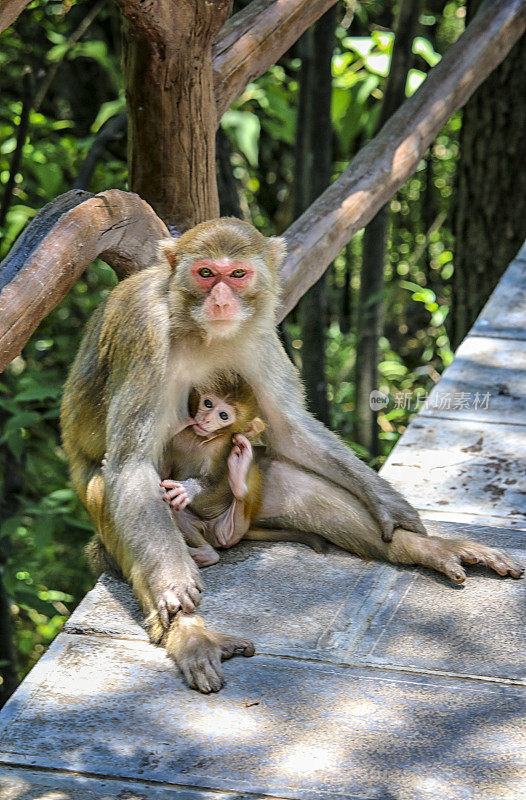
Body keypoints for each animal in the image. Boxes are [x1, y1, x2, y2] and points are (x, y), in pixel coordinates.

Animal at [161, 378, 328, 564]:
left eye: (223, 415)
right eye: (208, 403)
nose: (205, 419)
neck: (201, 440)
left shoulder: (222, 448)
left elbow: (213, 480)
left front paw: (190, 489)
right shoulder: (178, 438)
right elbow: (163, 472)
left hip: (234, 527)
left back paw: (239, 478)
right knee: (176, 510)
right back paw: (204, 552)